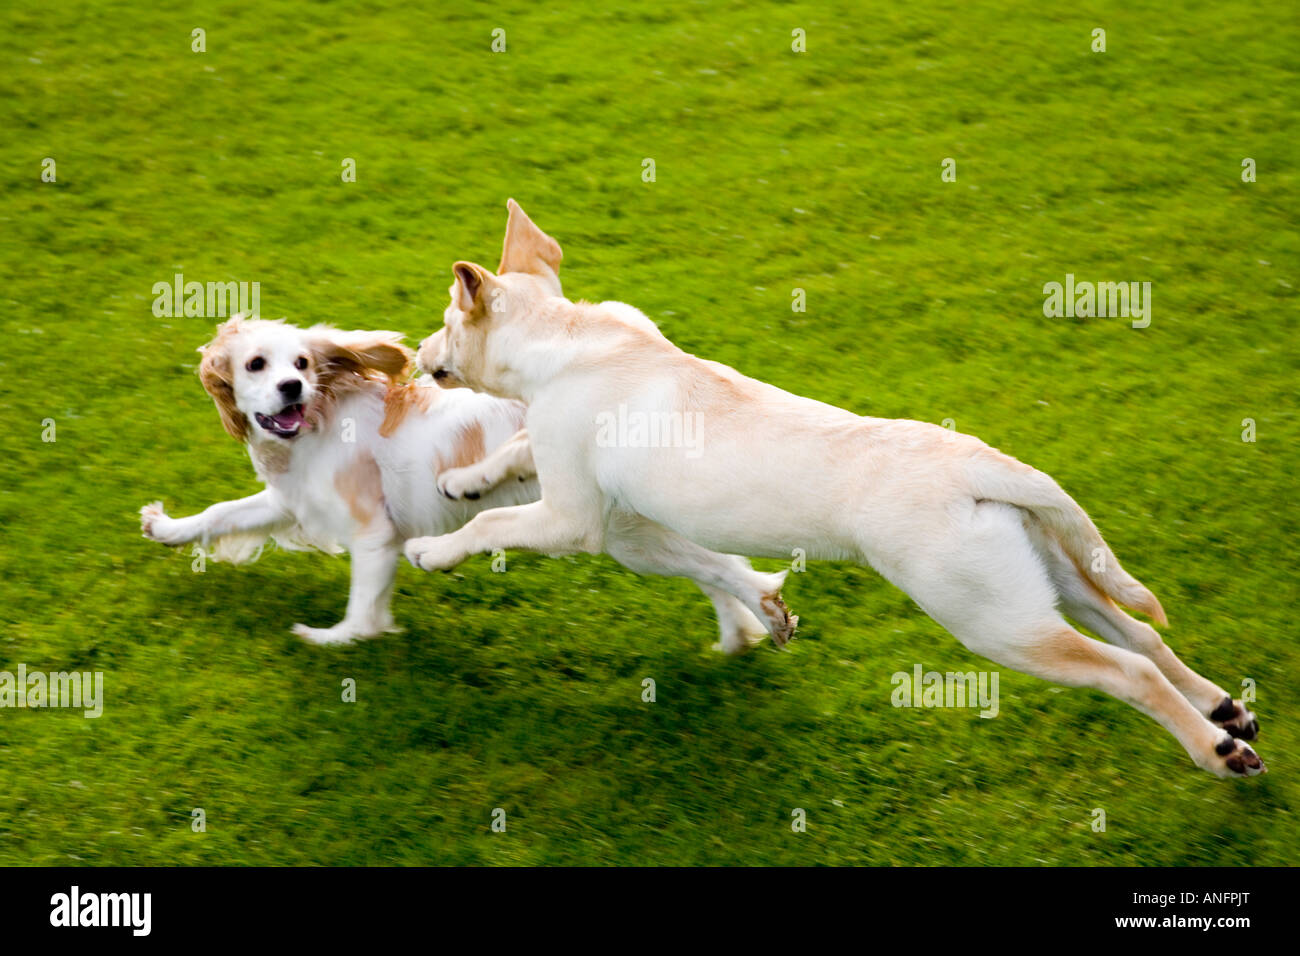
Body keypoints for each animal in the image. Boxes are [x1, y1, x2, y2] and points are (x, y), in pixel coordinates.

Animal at [405, 200, 1258, 780]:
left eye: (445, 318)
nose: (416, 352)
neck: (570, 336)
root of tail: (981, 463)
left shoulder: (573, 518)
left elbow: (493, 526)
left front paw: (433, 550)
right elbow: (515, 448)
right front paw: (464, 477)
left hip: (993, 621)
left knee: (1129, 671)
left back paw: (1216, 752)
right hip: (1047, 575)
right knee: (1141, 634)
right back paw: (1224, 709)